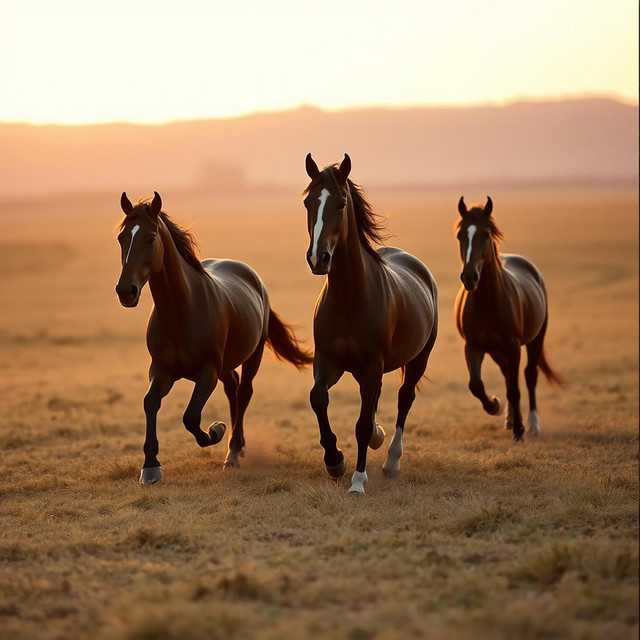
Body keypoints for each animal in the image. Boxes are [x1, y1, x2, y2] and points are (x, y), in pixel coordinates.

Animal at [115, 192, 312, 483]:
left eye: (150, 238)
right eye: (121, 238)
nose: (125, 291)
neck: (181, 311)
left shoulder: (207, 372)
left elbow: (191, 417)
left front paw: (216, 430)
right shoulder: (161, 370)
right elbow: (150, 403)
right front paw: (150, 466)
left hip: (252, 356)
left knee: (243, 392)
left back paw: (233, 452)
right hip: (226, 365)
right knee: (232, 388)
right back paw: (238, 447)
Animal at [303, 154, 438, 495]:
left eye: (340, 203)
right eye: (308, 202)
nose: (318, 258)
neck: (349, 298)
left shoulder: (373, 363)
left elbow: (362, 424)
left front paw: (357, 481)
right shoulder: (328, 361)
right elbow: (318, 398)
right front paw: (334, 460)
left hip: (418, 358)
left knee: (404, 398)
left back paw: (391, 462)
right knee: (375, 394)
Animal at [454, 196, 563, 441]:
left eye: (486, 234)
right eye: (460, 235)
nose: (469, 277)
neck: (488, 303)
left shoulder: (513, 347)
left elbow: (515, 389)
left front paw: (519, 432)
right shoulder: (472, 347)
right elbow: (476, 385)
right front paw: (494, 405)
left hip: (535, 339)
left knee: (529, 375)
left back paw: (532, 424)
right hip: (496, 351)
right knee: (506, 375)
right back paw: (510, 418)